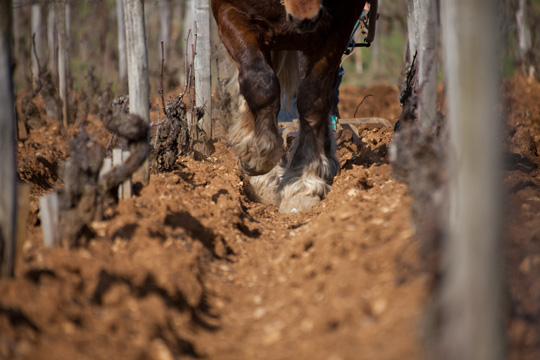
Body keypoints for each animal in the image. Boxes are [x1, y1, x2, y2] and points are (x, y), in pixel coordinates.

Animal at [213, 0, 370, 212]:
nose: (306, 17)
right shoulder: (229, 11)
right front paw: (258, 156)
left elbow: (313, 96)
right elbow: (259, 80)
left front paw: (303, 183)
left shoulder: (339, 24)